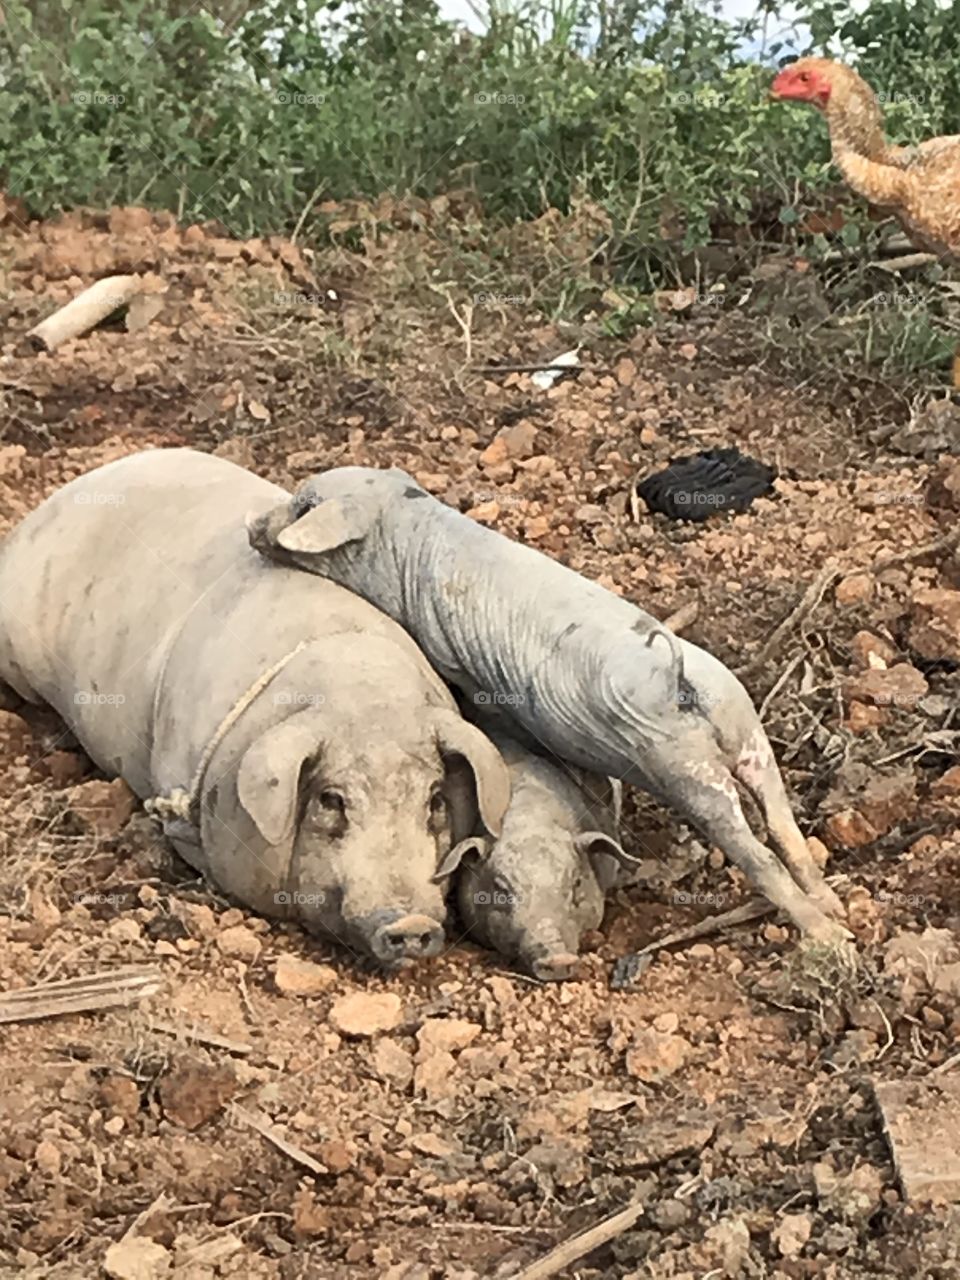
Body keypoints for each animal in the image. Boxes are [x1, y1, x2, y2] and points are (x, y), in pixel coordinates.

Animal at [252, 465, 855, 947]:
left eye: (304, 506)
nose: (253, 527)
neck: (406, 545)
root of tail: (680, 680)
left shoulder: (461, 666)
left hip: (687, 770)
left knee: (759, 852)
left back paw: (829, 937)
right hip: (748, 732)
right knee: (782, 823)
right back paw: (834, 904)